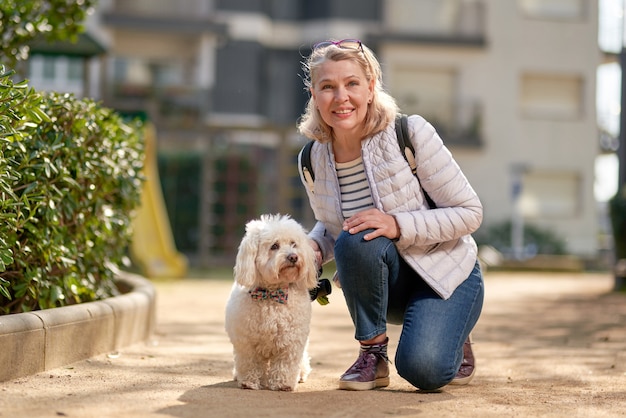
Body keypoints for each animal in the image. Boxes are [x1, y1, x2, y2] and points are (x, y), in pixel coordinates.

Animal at [224, 216, 316, 392]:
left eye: (294, 244)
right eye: (274, 246)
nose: (293, 257)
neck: (272, 294)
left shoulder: (291, 340)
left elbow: (285, 363)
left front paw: (283, 383)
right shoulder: (247, 341)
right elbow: (249, 362)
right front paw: (248, 382)